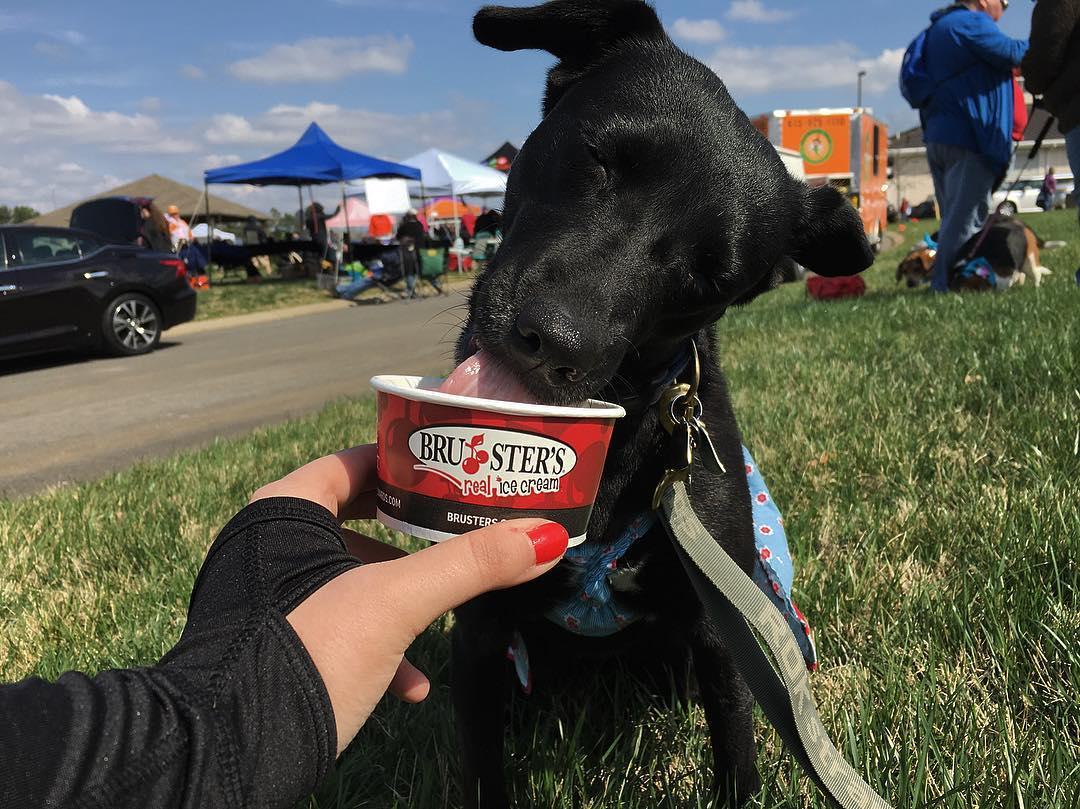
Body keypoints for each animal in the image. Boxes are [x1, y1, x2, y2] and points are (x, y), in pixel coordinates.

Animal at [451, 3, 872, 803]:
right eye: (597, 157)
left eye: (711, 277)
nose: (555, 341)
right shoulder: (483, 626)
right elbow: (483, 766)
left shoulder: (720, 630)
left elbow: (737, 754)